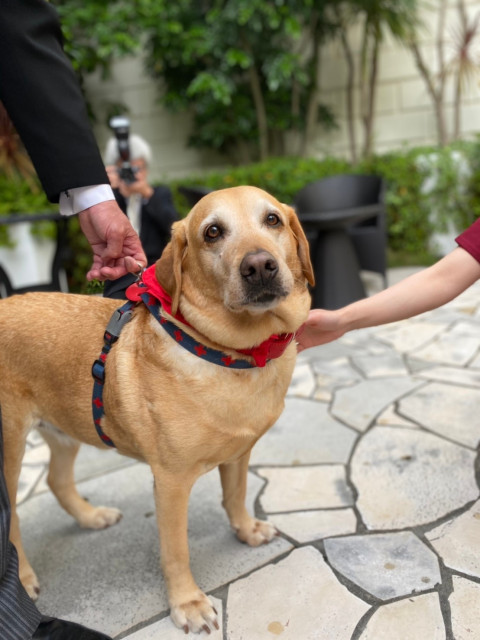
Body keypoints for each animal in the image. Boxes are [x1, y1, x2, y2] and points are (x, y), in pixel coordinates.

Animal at [0, 185, 314, 636]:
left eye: (272, 219)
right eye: (212, 232)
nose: (259, 266)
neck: (231, 353)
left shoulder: (239, 453)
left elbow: (236, 495)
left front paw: (246, 529)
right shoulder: (170, 481)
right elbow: (176, 551)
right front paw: (188, 604)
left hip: (64, 427)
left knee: (57, 480)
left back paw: (90, 517)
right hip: (9, 453)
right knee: (12, 524)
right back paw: (24, 577)